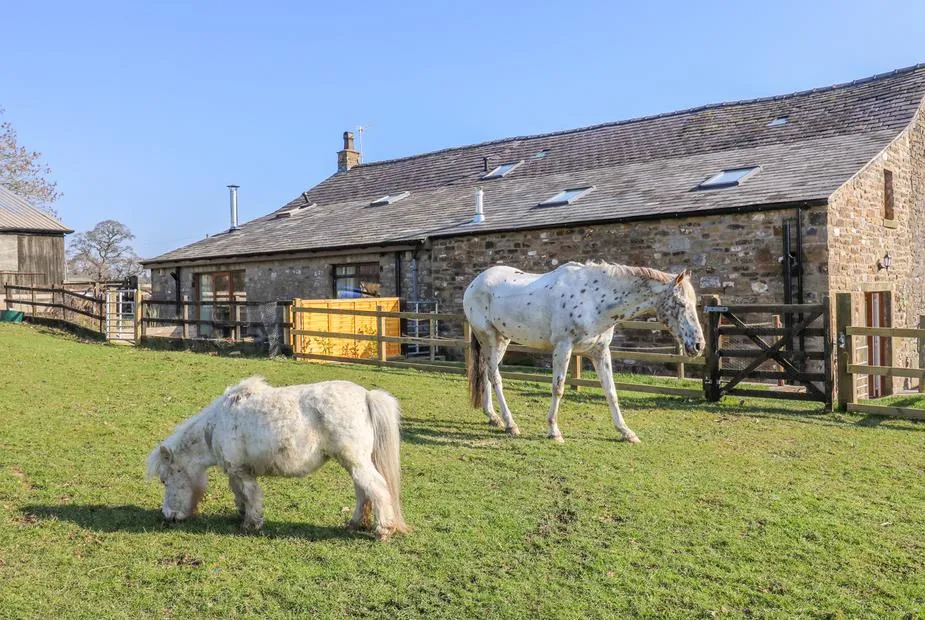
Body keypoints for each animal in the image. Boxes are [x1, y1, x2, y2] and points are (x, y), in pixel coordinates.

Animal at [146, 377, 408, 541]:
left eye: (164, 480)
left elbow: (251, 495)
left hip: (356, 462)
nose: (168, 516)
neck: (216, 425)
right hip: (354, 464)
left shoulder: (242, 472)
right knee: (363, 492)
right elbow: (239, 494)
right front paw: (242, 514)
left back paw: (383, 530)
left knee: (377, 489)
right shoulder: (235, 472)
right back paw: (355, 524)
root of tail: (367, 396)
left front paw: (251, 523)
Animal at [463, 261, 705, 443]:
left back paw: (493, 417)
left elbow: (611, 391)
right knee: (495, 376)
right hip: (489, 337)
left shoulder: (600, 352)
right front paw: (554, 431)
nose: (698, 345)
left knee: (487, 373)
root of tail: (474, 283)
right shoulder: (563, 348)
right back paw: (510, 424)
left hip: (501, 340)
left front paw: (626, 432)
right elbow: (558, 388)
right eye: (681, 303)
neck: (594, 299)